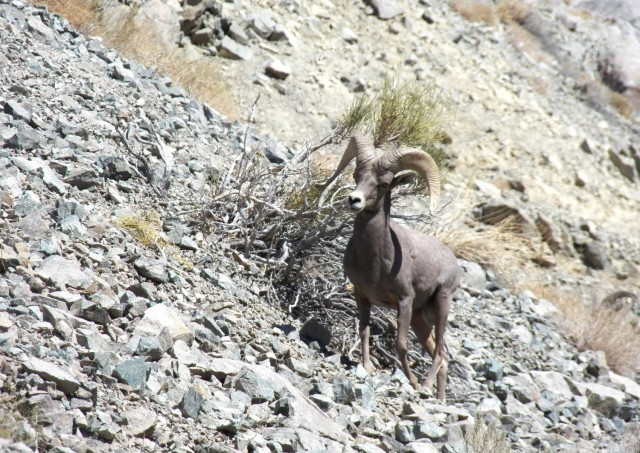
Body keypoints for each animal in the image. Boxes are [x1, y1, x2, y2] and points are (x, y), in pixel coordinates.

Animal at [319, 134, 460, 401]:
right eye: (356, 175)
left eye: (384, 184)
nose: (354, 200)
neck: (376, 262)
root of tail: (454, 262)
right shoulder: (362, 295)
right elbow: (364, 330)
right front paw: (367, 367)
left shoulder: (404, 301)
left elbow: (401, 345)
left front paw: (413, 383)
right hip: (420, 319)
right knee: (442, 355)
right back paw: (440, 400)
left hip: (441, 304)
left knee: (440, 353)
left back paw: (425, 387)